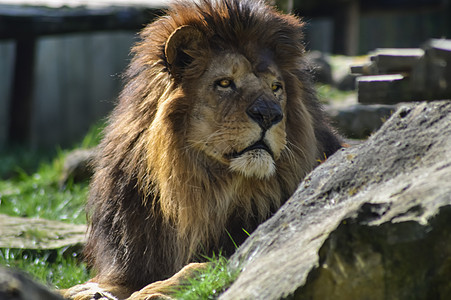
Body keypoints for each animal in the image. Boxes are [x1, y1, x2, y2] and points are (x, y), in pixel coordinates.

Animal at [64, 0, 342, 300]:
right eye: (225, 83)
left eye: (276, 87)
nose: (270, 114)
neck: (202, 192)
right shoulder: (131, 262)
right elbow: (96, 283)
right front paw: (85, 290)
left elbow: (201, 266)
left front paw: (151, 291)